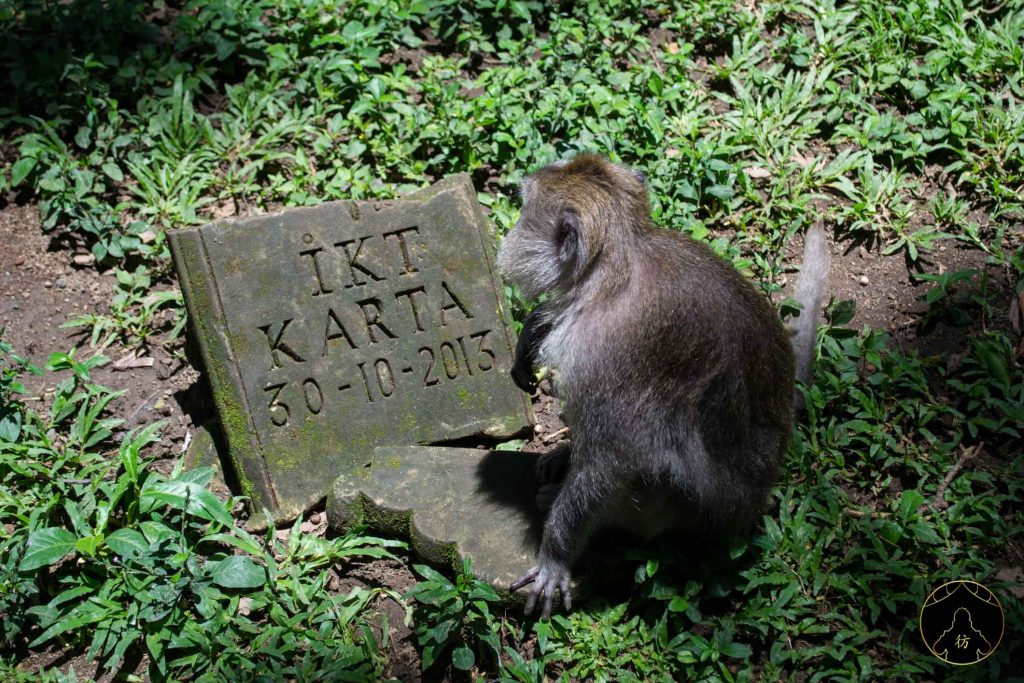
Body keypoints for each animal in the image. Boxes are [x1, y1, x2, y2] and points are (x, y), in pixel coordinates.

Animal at [496, 154, 830, 618]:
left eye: (525, 209)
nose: (510, 232)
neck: (615, 267)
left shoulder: (606, 356)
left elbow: (610, 464)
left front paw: (554, 557)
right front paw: (533, 329)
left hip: (685, 511)